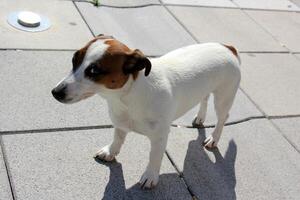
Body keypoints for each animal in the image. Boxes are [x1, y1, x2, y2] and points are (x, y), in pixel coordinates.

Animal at [51, 34, 241, 189]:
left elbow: (154, 157)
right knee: (204, 98)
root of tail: (228, 47)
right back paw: (200, 117)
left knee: (223, 116)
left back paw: (214, 138)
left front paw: (150, 176)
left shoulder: (160, 137)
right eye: (74, 60)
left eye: (94, 71)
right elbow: (117, 139)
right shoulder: (120, 123)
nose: (55, 92)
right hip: (206, 90)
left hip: (224, 97)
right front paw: (111, 151)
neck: (127, 96)